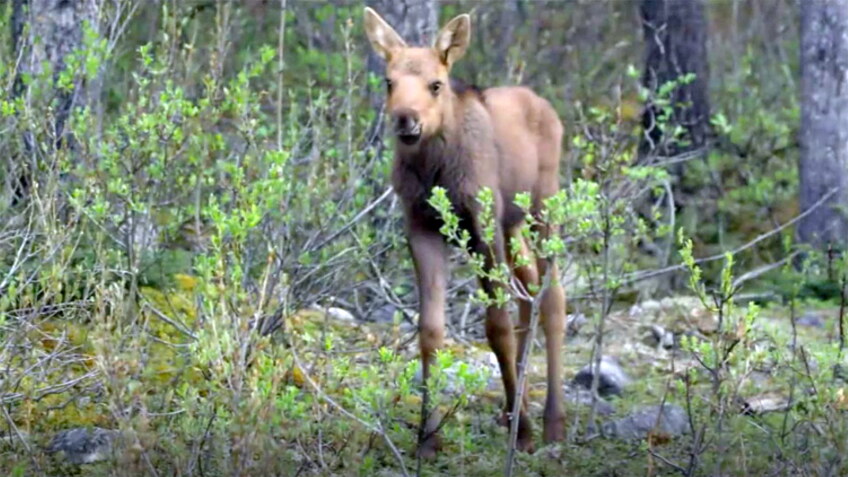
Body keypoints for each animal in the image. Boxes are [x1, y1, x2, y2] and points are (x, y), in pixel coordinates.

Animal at [363, 7, 567, 457]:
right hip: (512, 222)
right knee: (527, 289)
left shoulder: (480, 222)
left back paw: (552, 421)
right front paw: (427, 437)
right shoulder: (421, 226)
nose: (406, 120)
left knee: (552, 297)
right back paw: (512, 409)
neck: (434, 169)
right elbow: (430, 330)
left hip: (542, 207)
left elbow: (496, 328)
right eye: (389, 82)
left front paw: (524, 433)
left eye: (435, 84)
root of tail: (547, 105)